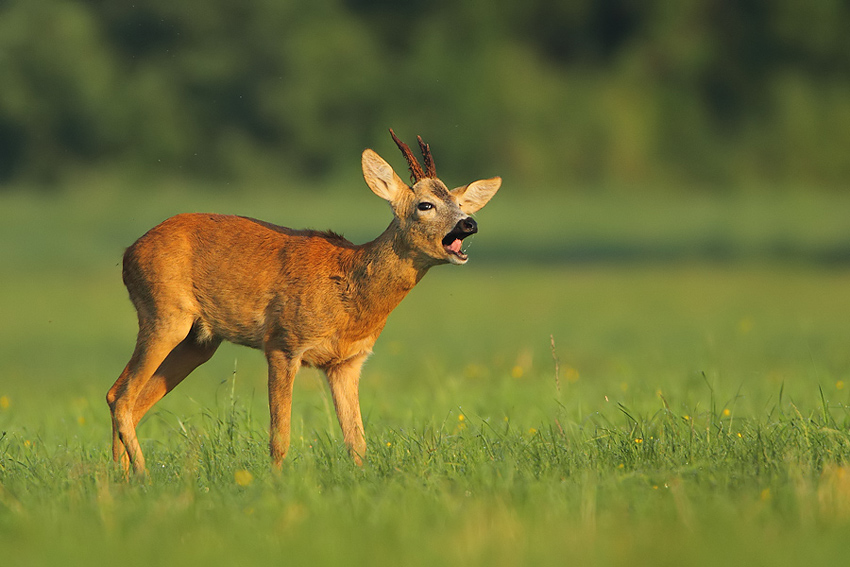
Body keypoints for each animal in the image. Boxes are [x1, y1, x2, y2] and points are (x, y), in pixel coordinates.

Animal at [108, 131, 500, 472]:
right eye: (425, 205)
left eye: (459, 203)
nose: (469, 224)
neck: (351, 289)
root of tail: (128, 253)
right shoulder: (283, 344)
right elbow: (280, 436)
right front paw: (277, 485)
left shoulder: (348, 362)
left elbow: (357, 441)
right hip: (164, 315)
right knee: (121, 396)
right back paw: (140, 476)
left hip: (199, 341)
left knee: (129, 400)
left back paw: (120, 480)